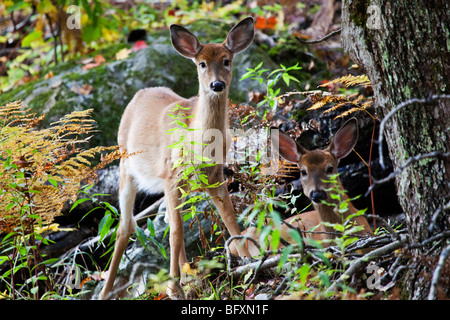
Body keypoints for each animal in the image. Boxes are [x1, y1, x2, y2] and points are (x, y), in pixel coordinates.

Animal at [101, 16, 256, 300]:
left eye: (227, 60)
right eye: (201, 63)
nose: (217, 85)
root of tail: (139, 94)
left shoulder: (214, 175)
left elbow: (228, 217)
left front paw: (247, 259)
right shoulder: (170, 174)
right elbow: (174, 231)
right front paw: (173, 288)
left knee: (169, 221)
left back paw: (189, 276)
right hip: (127, 167)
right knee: (125, 227)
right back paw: (107, 291)